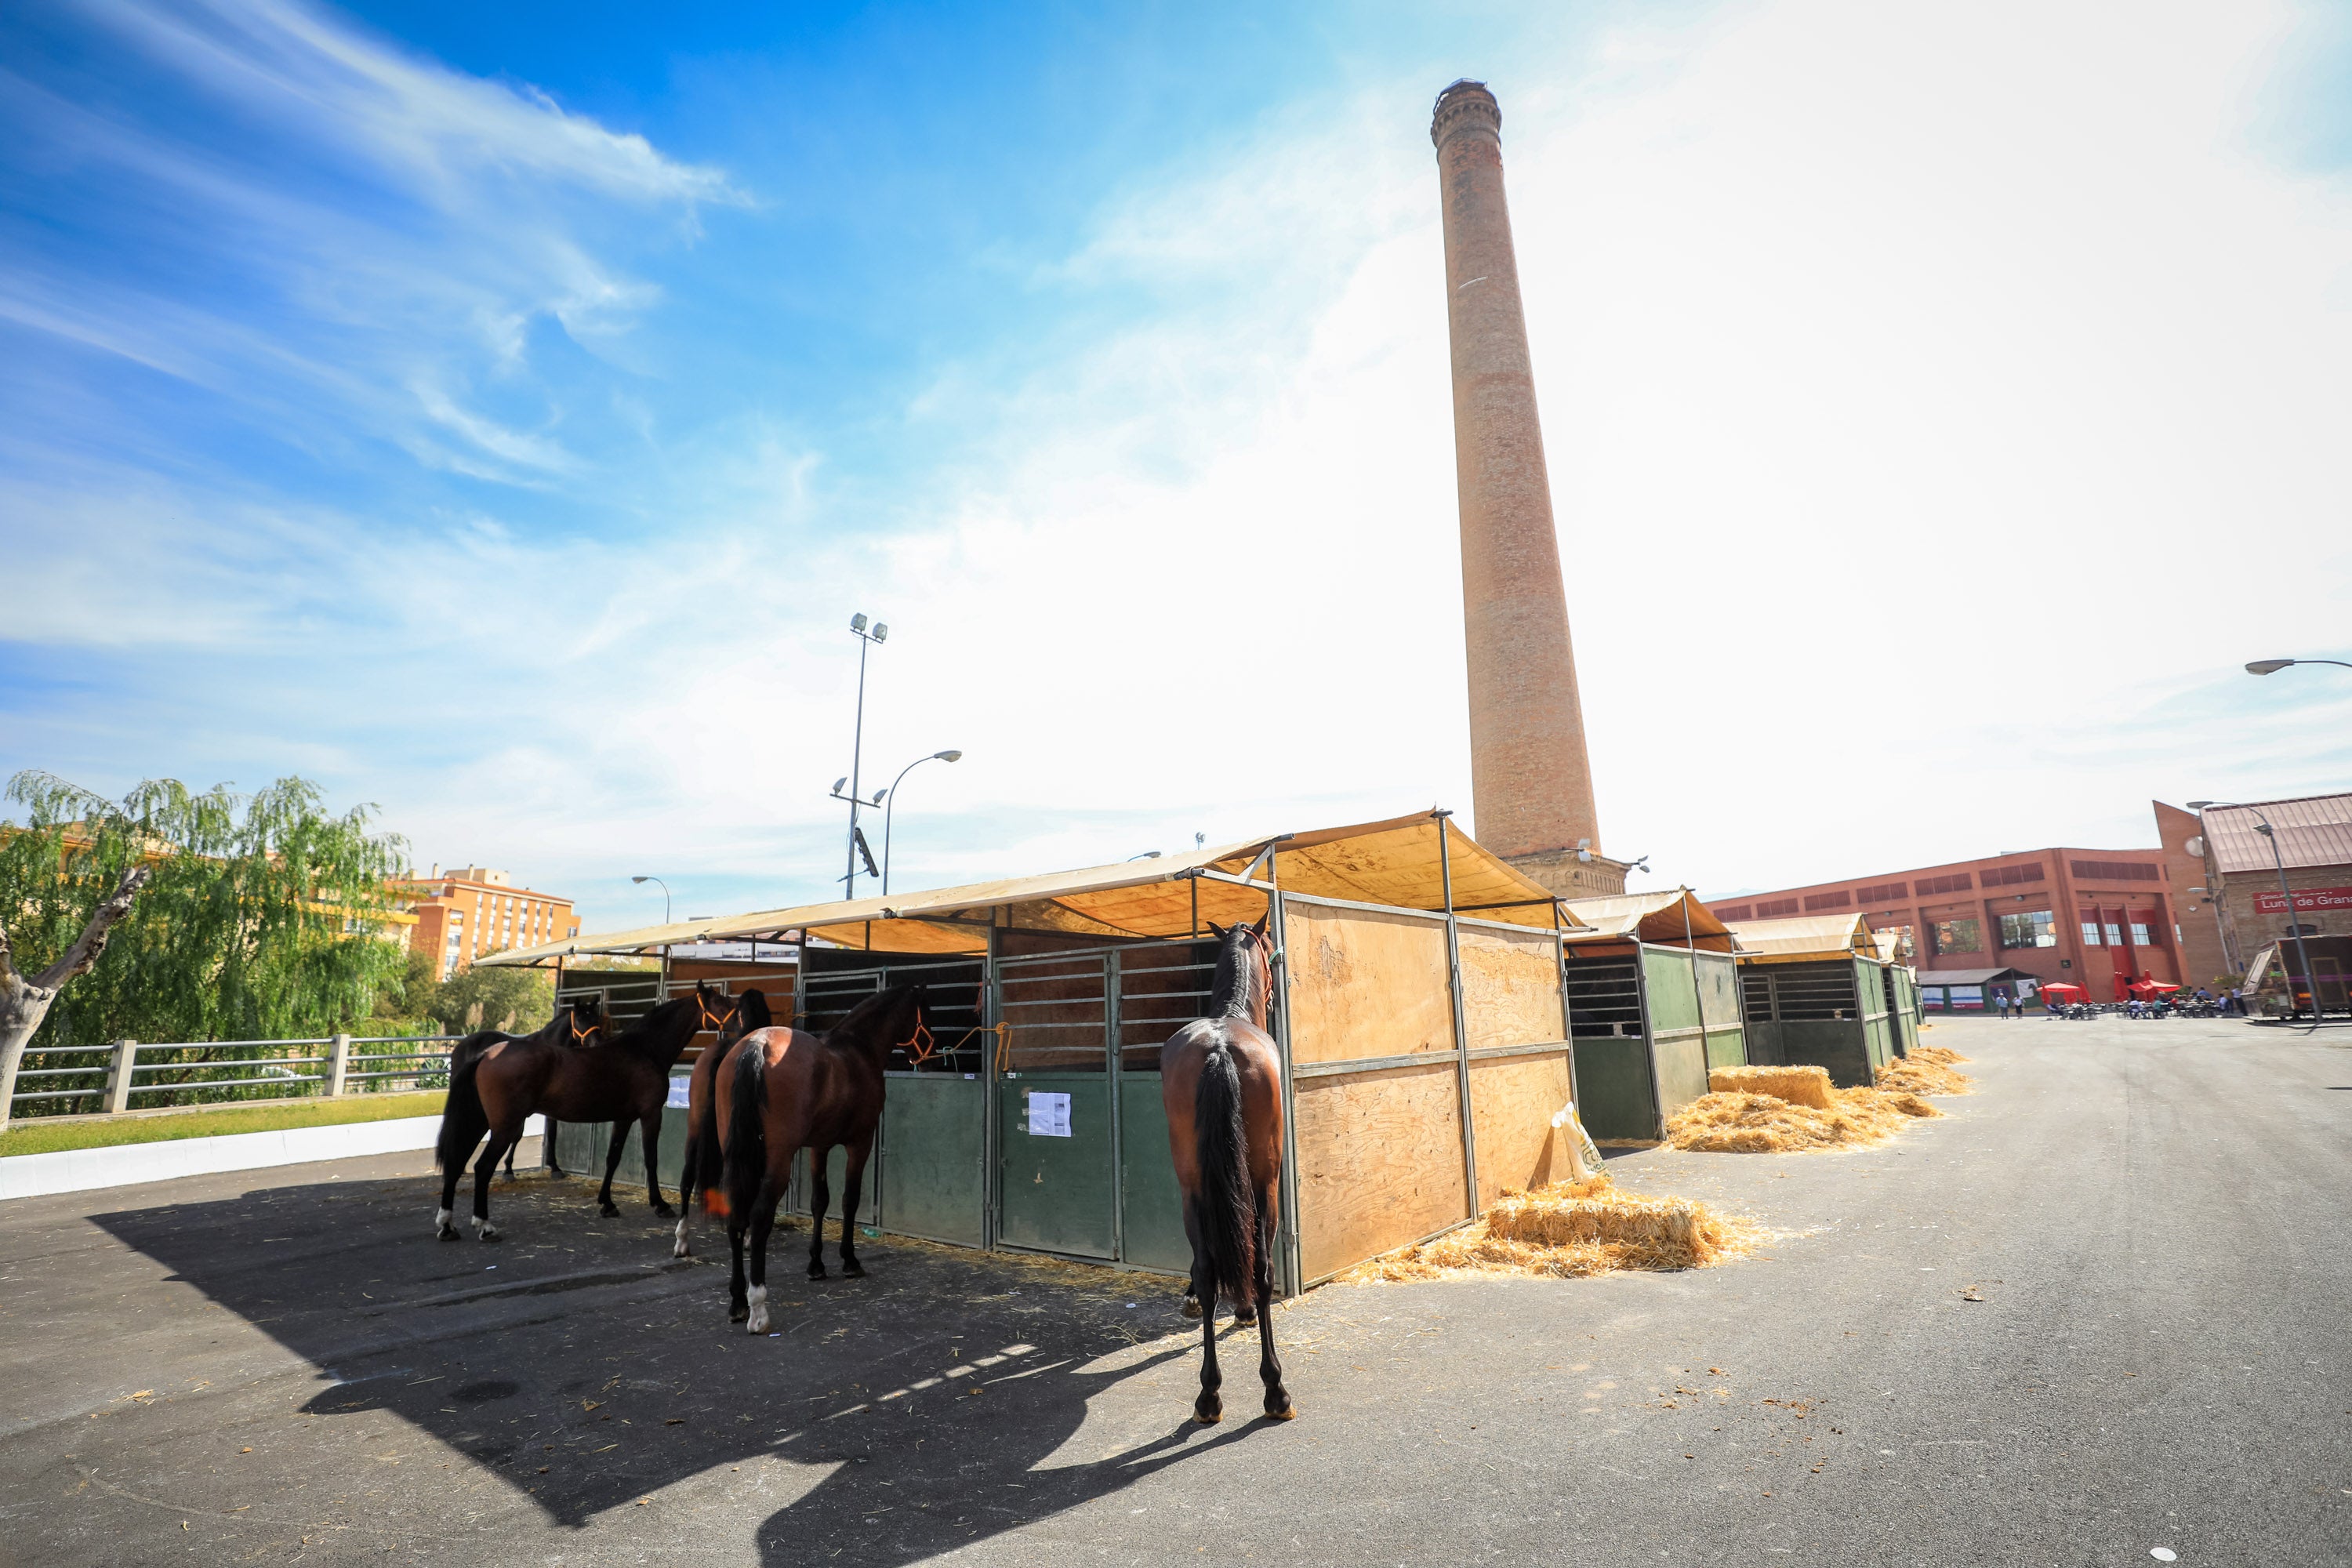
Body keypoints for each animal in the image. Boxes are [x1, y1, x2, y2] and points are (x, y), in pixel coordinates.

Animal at [433, 992, 706, 1241]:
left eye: (597, 1018)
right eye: (580, 1020)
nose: (596, 1042)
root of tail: (481, 1052)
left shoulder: (616, 1117)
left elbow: (606, 1155)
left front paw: (601, 1199)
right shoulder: (648, 1114)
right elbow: (648, 1159)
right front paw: (658, 1204)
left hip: (478, 1120)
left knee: (456, 1159)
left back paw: (448, 1225)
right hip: (494, 1122)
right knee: (480, 1165)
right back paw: (482, 1224)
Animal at [715, 987, 927, 1335]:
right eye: (927, 1009)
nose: (928, 1049)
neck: (858, 1048)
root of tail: (755, 1044)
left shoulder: (819, 1147)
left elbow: (819, 1201)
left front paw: (816, 1264)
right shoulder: (860, 1143)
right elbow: (849, 1200)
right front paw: (850, 1261)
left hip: (738, 1156)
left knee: (736, 1217)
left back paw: (736, 1303)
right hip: (778, 1161)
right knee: (759, 1217)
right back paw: (757, 1308)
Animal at [1162, 912, 1298, 1429]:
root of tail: (1220, 1047)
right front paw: (1242, 1310)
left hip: (1192, 1183)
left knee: (1206, 1267)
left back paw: (1208, 1396)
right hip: (1266, 1182)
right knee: (1259, 1267)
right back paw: (1275, 1390)